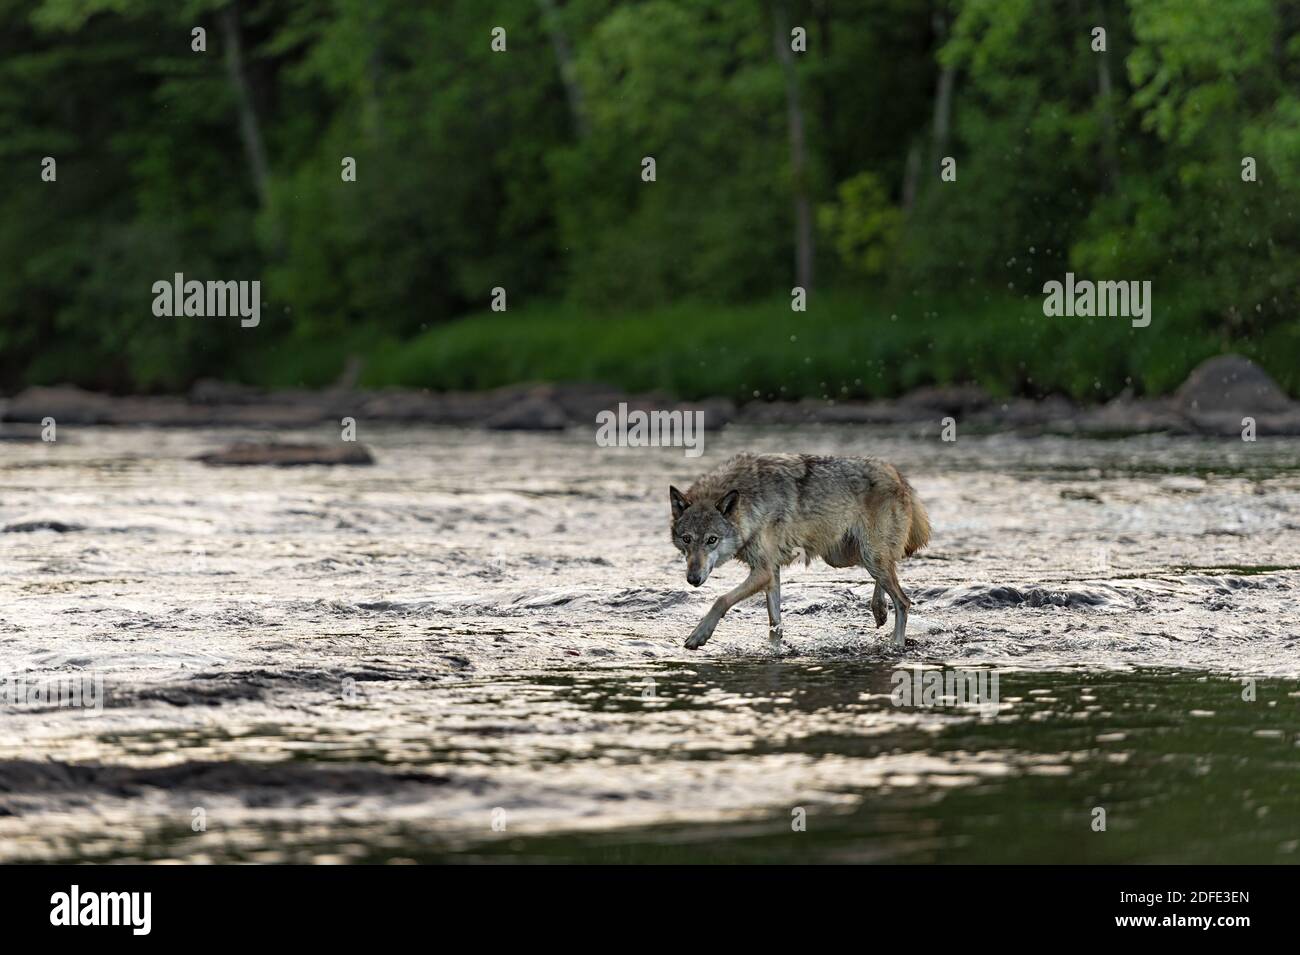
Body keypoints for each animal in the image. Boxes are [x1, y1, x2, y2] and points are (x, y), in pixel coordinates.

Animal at [669, 453, 930, 651]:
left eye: (712, 540)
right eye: (687, 539)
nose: (693, 579)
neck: (750, 503)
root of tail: (897, 474)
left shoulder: (763, 572)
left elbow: (721, 599)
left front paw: (699, 636)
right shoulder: (771, 572)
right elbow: (775, 623)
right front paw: (774, 650)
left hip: (867, 556)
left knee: (904, 601)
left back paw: (895, 643)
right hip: (845, 557)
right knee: (890, 571)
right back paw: (879, 610)